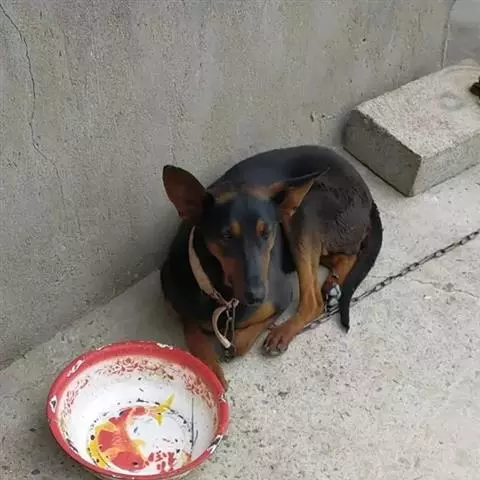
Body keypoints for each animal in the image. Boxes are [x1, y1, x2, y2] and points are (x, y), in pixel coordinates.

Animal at [161, 145, 382, 388]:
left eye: (266, 232)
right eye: (227, 235)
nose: (257, 295)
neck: (222, 291)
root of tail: (368, 194)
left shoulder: (281, 296)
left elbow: (239, 342)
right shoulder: (181, 305)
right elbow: (194, 335)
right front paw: (212, 371)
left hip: (305, 209)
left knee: (313, 300)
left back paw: (284, 330)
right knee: (343, 257)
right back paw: (332, 286)